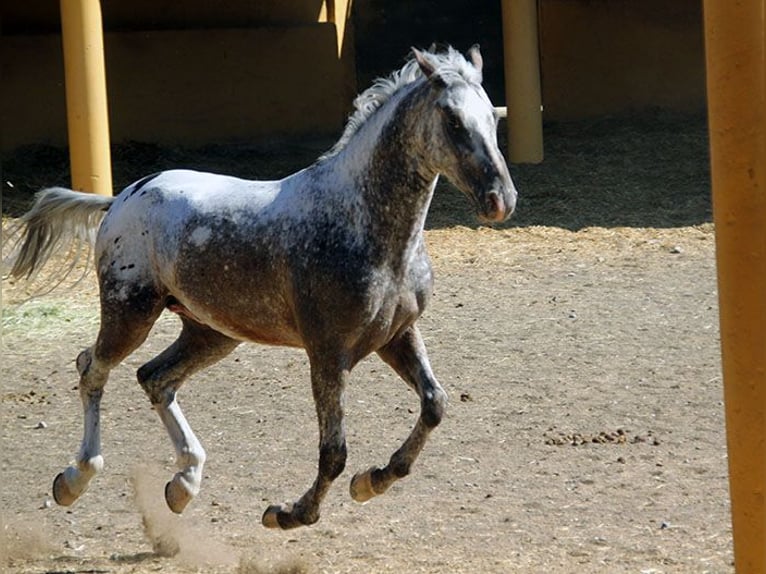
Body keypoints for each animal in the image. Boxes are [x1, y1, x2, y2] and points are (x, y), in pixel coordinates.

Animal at [9, 45, 520, 532]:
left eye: (493, 117)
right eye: (452, 120)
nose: (501, 200)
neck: (360, 223)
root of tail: (121, 197)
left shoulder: (397, 335)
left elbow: (434, 404)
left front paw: (372, 481)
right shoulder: (328, 352)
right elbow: (334, 450)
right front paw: (289, 514)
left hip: (212, 332)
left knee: (154, 377)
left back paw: (184, 484)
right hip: (130, 311)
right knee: (93, 368)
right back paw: (74, 479)